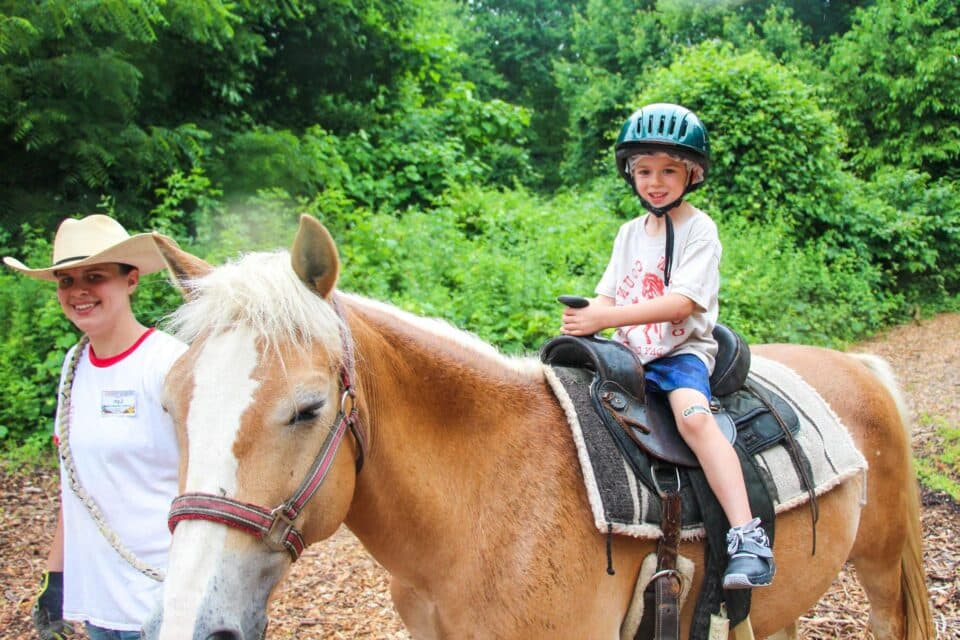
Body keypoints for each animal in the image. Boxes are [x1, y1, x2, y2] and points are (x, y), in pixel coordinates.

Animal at [141, 218, 928, 636]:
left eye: (307, 409)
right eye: (171, 405)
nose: (190, 619)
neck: (484, 506)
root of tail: (860, 366)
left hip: (880, 571)